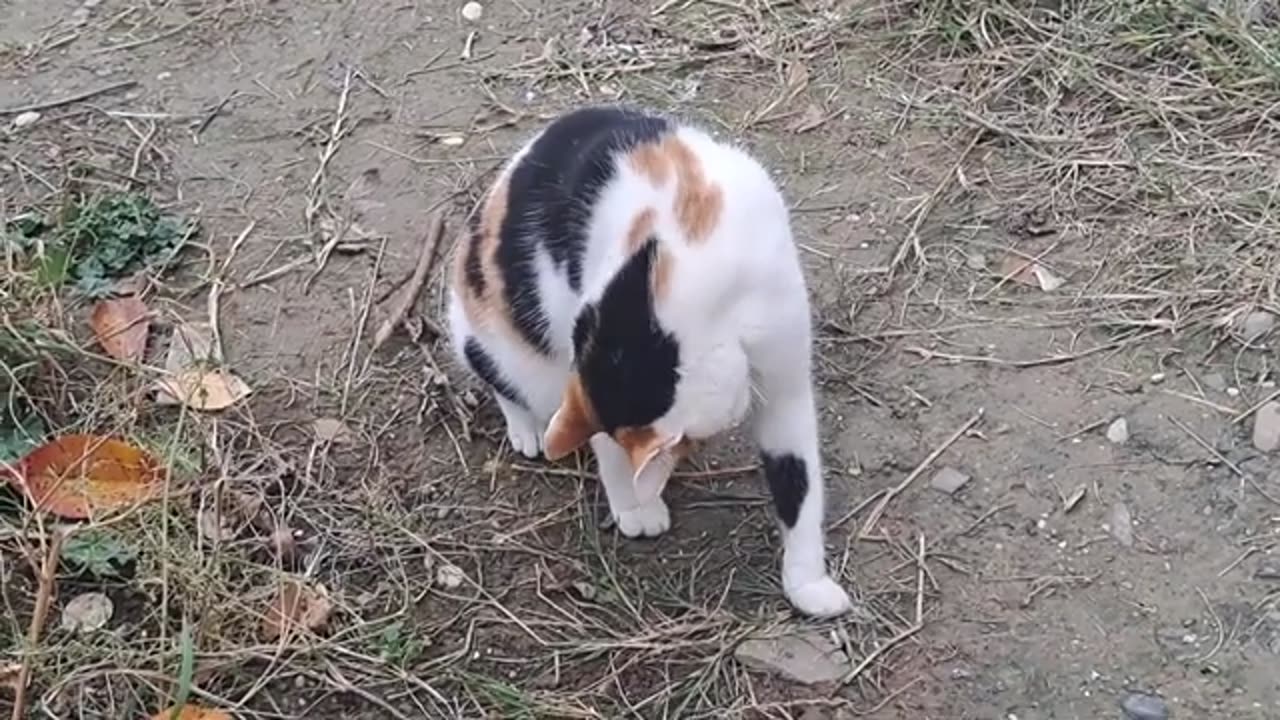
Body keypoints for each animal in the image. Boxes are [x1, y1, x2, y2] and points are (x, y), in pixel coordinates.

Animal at [445, 103, 855, 614]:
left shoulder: (785, 373)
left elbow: (798, 482)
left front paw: (807, 583)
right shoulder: (580, 360)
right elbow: (609, 451)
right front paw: (634, 505)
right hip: (479, 331)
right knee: (499, 378)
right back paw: (528, 428)